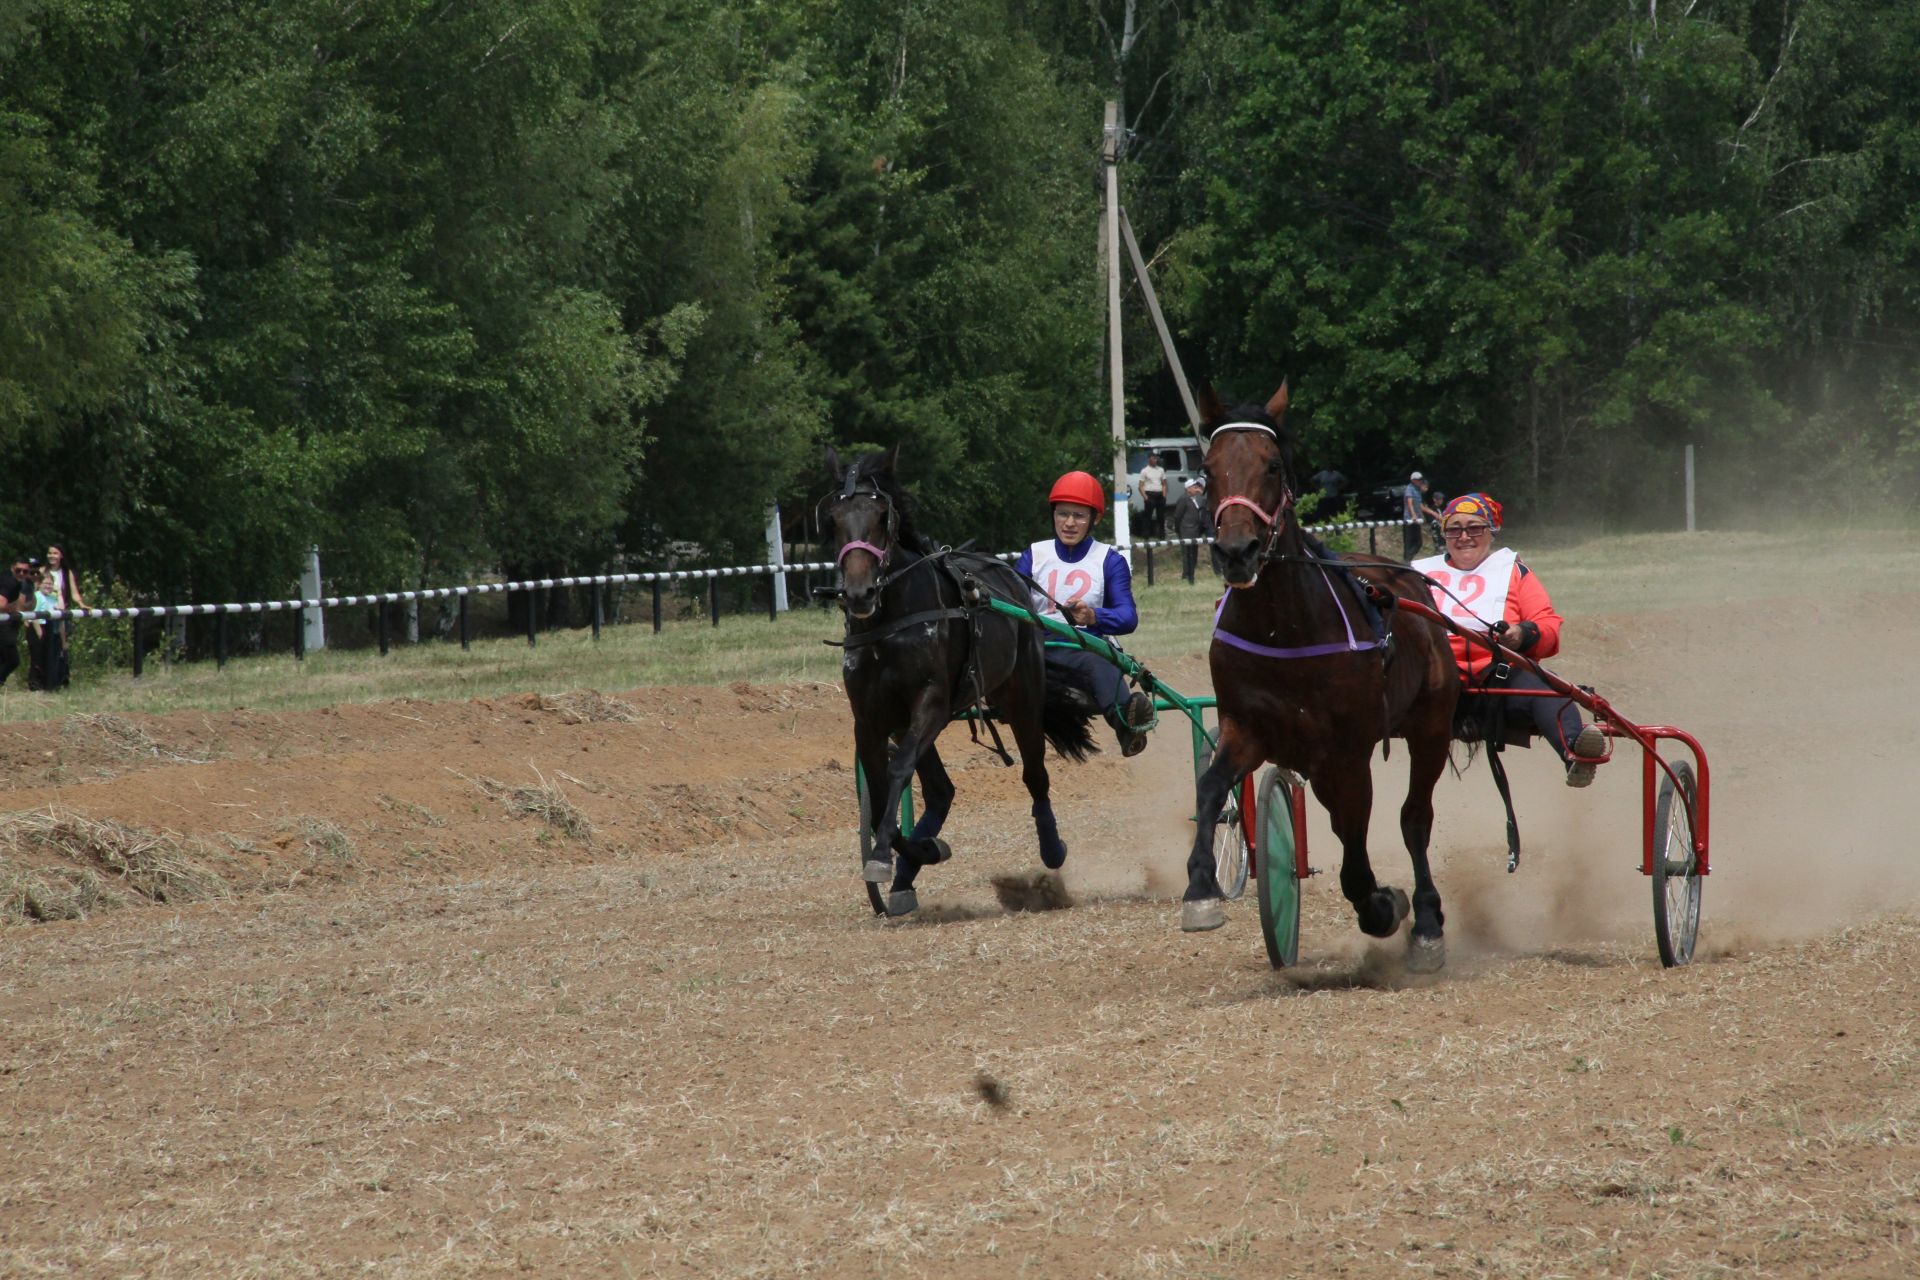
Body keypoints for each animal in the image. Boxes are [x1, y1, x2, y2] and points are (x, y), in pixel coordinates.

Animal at [821, 445, 1098, 917]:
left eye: (881, 515)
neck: (890, 623)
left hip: (1023, 694)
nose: (858, 594)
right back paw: (912, 869)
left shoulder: (931, 702)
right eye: (836, 517)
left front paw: (887, 855)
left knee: (1035, 775)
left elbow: (897, 770)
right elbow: (878, 789)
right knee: (940, 791)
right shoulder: (870, 717)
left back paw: (1052, 849)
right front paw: (913, 851)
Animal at [1175, 379, 1459, 971]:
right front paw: (1200, 890)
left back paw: (1424, 920)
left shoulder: (1346, 750)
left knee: (1414, 818)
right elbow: (1211, 788)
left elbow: (1357, 844)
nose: (1237, 551)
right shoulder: (1247, 728)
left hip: (1431, 725)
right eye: (1208, 469)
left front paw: (1383, 904)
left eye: (1273, 465)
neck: (1283, 627)